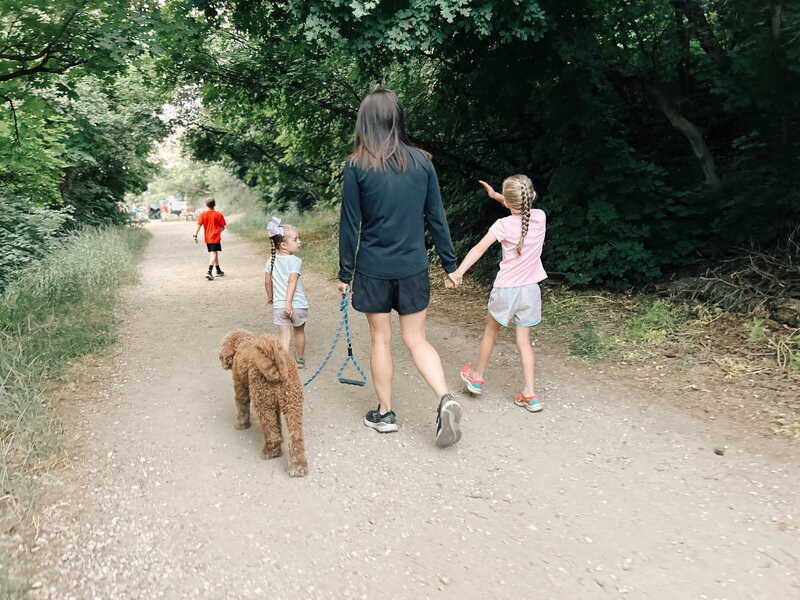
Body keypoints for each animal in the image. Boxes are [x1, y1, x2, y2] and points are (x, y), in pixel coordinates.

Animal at [217, 330, 308, 476]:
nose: (220, 356)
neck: (243, 344)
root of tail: (278, 368)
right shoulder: (276, 405)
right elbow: (278, 424)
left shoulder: (240, 385)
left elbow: (242, 407)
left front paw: (241, 425)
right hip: (292, 403)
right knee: (296, 437)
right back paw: (298, 467)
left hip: (263, 403)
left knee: (271, 433)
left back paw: (270, 452)